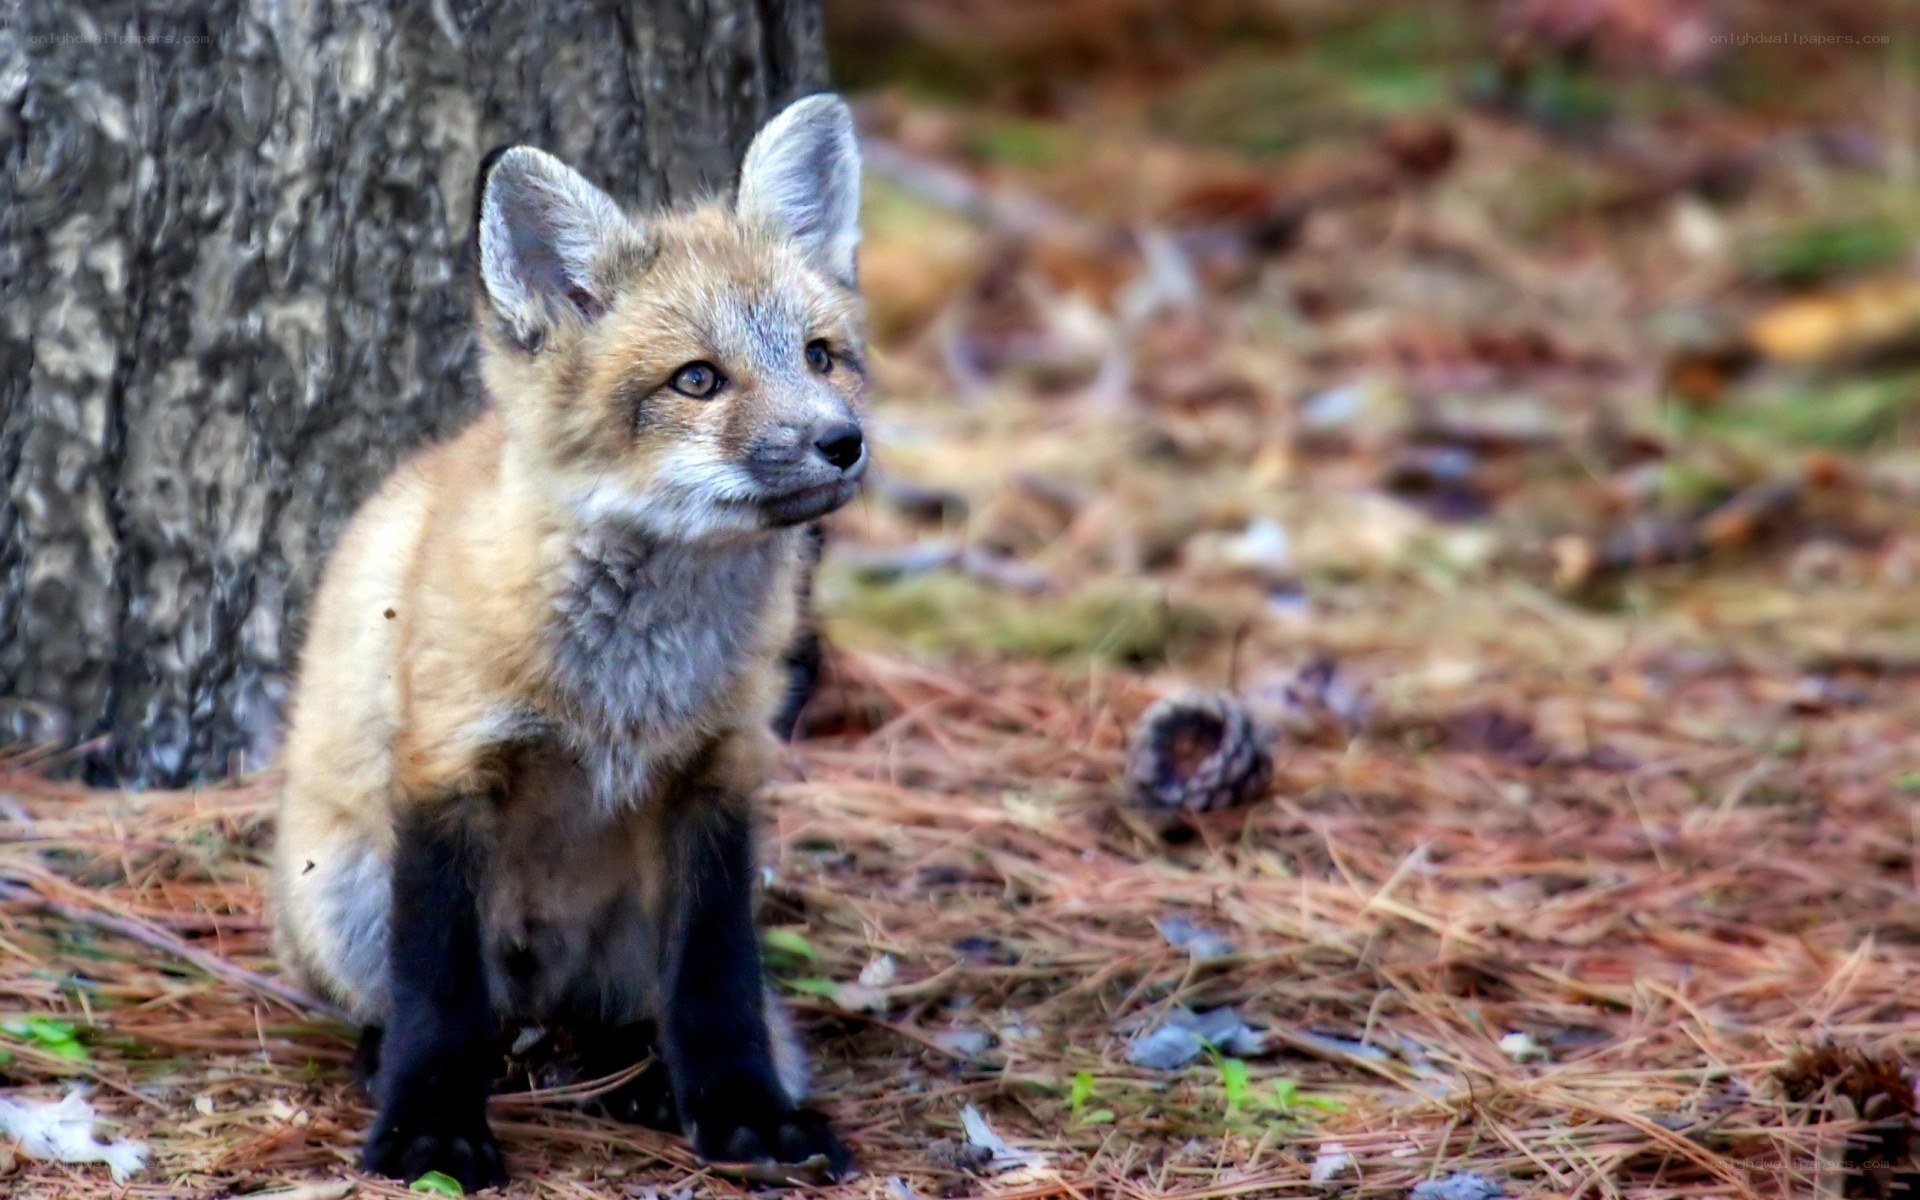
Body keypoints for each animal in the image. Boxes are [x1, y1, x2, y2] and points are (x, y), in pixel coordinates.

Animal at [272, 94, 866, 1190]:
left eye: (818, 355)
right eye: (696, 380)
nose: (842, 443)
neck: (626, 687)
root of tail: (545, 997)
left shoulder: (716, 775)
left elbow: (717, 989)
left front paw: (748, 1115)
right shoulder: (448, 771)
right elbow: (442, 997)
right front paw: (430, 1131)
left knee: (631, 1013)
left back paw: (641, 1076)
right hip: (341, 886)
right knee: (440, 1004)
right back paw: (394, 1056)